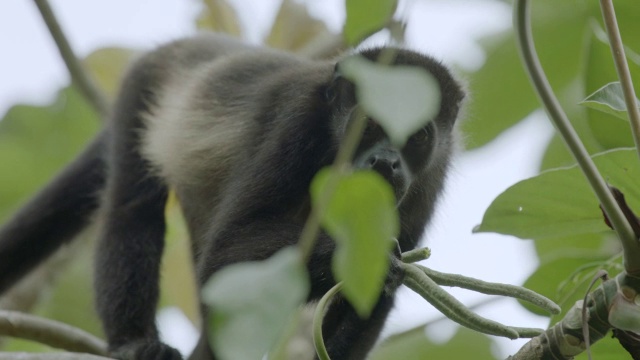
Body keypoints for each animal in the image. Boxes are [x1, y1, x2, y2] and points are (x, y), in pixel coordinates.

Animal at [0, 32, 462, 358]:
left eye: (418, 136)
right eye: (368, 125)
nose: (385, 161)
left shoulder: (430, 180)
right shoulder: (295, 122)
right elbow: (224, 259)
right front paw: (371, 255)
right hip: (141, 87)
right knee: (132, 206)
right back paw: (134, 341)